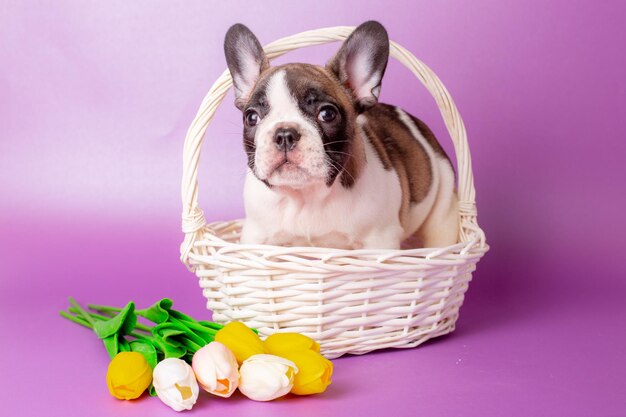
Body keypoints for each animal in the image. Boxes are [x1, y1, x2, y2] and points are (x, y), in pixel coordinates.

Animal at [222, 21, 456, 249]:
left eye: (327, 114)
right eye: (251, 117)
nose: (285, 134)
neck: (305, 197)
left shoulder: (379, 242)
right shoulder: (255, 237)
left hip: (443, 213)